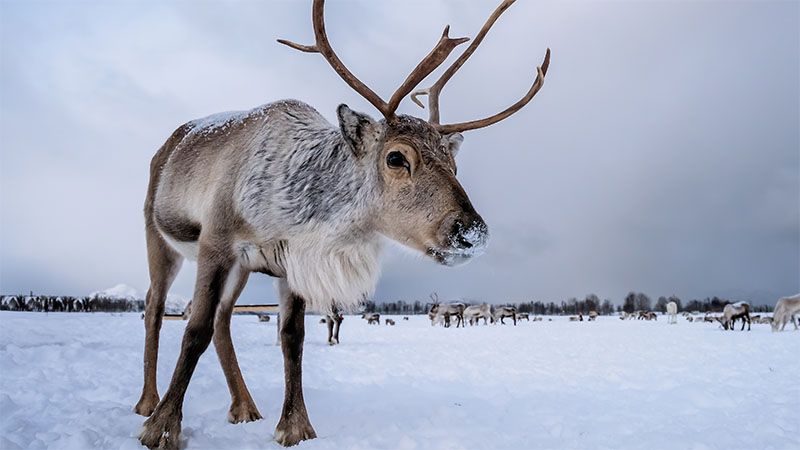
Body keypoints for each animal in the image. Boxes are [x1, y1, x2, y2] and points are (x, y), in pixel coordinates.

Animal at [134, 0, 550, 448]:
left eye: (453, 165)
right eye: (396, 157)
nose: (471, 231)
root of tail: (166, 145)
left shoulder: (289, 261)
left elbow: (292, 338)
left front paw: (294, 426)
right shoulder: (217, 241)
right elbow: (194, 330)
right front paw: (162, 428)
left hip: (242, 269)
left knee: (223, 319)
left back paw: (244, 407)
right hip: (159, 236)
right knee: (155, 307)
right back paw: (147, 402)